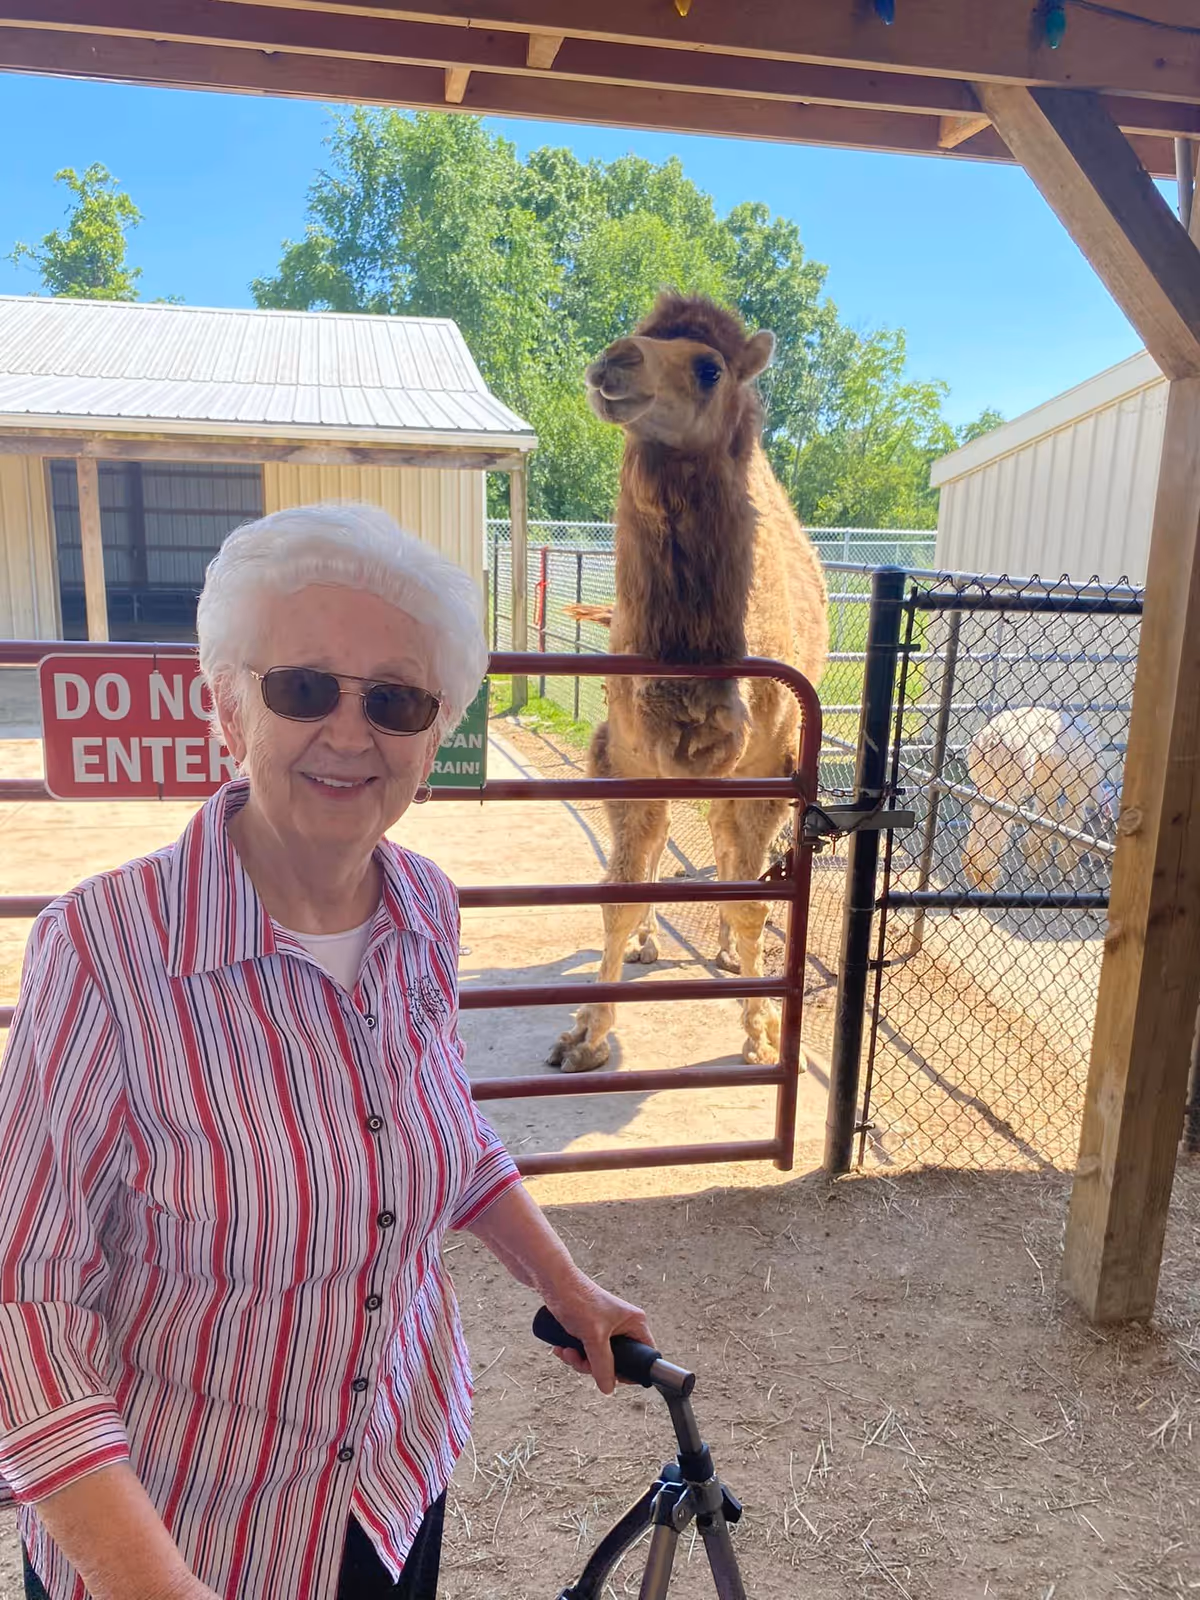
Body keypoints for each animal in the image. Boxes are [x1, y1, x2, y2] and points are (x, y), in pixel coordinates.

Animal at [548, 292, 829, 1074]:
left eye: (709, 368)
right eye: (641, 333)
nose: (613, 362)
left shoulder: (769, 766)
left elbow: (752, 900)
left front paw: (762, 1033)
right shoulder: (626, 758)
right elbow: (618, 894)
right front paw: (586, 1035)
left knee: (726, 851)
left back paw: (733, 963)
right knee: (665, 847)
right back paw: (649, 945)